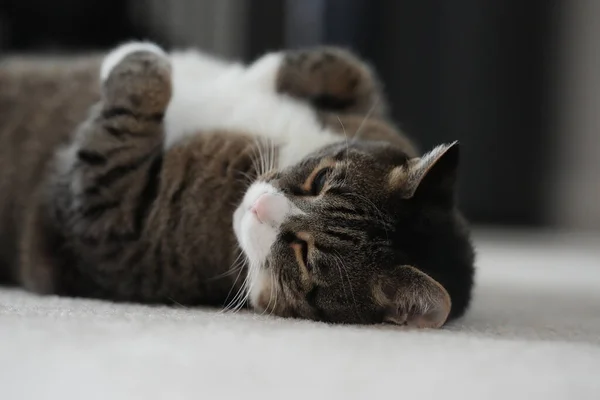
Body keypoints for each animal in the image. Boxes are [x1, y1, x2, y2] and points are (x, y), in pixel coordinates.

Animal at [0, 40, 476, 328]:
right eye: (320, 179)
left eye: (303, 254)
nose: (260, 204)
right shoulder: (374, 115)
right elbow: (345, 66)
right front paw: (253, 73)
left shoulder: (109, 224)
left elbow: (124, 125)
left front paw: (140, 55)